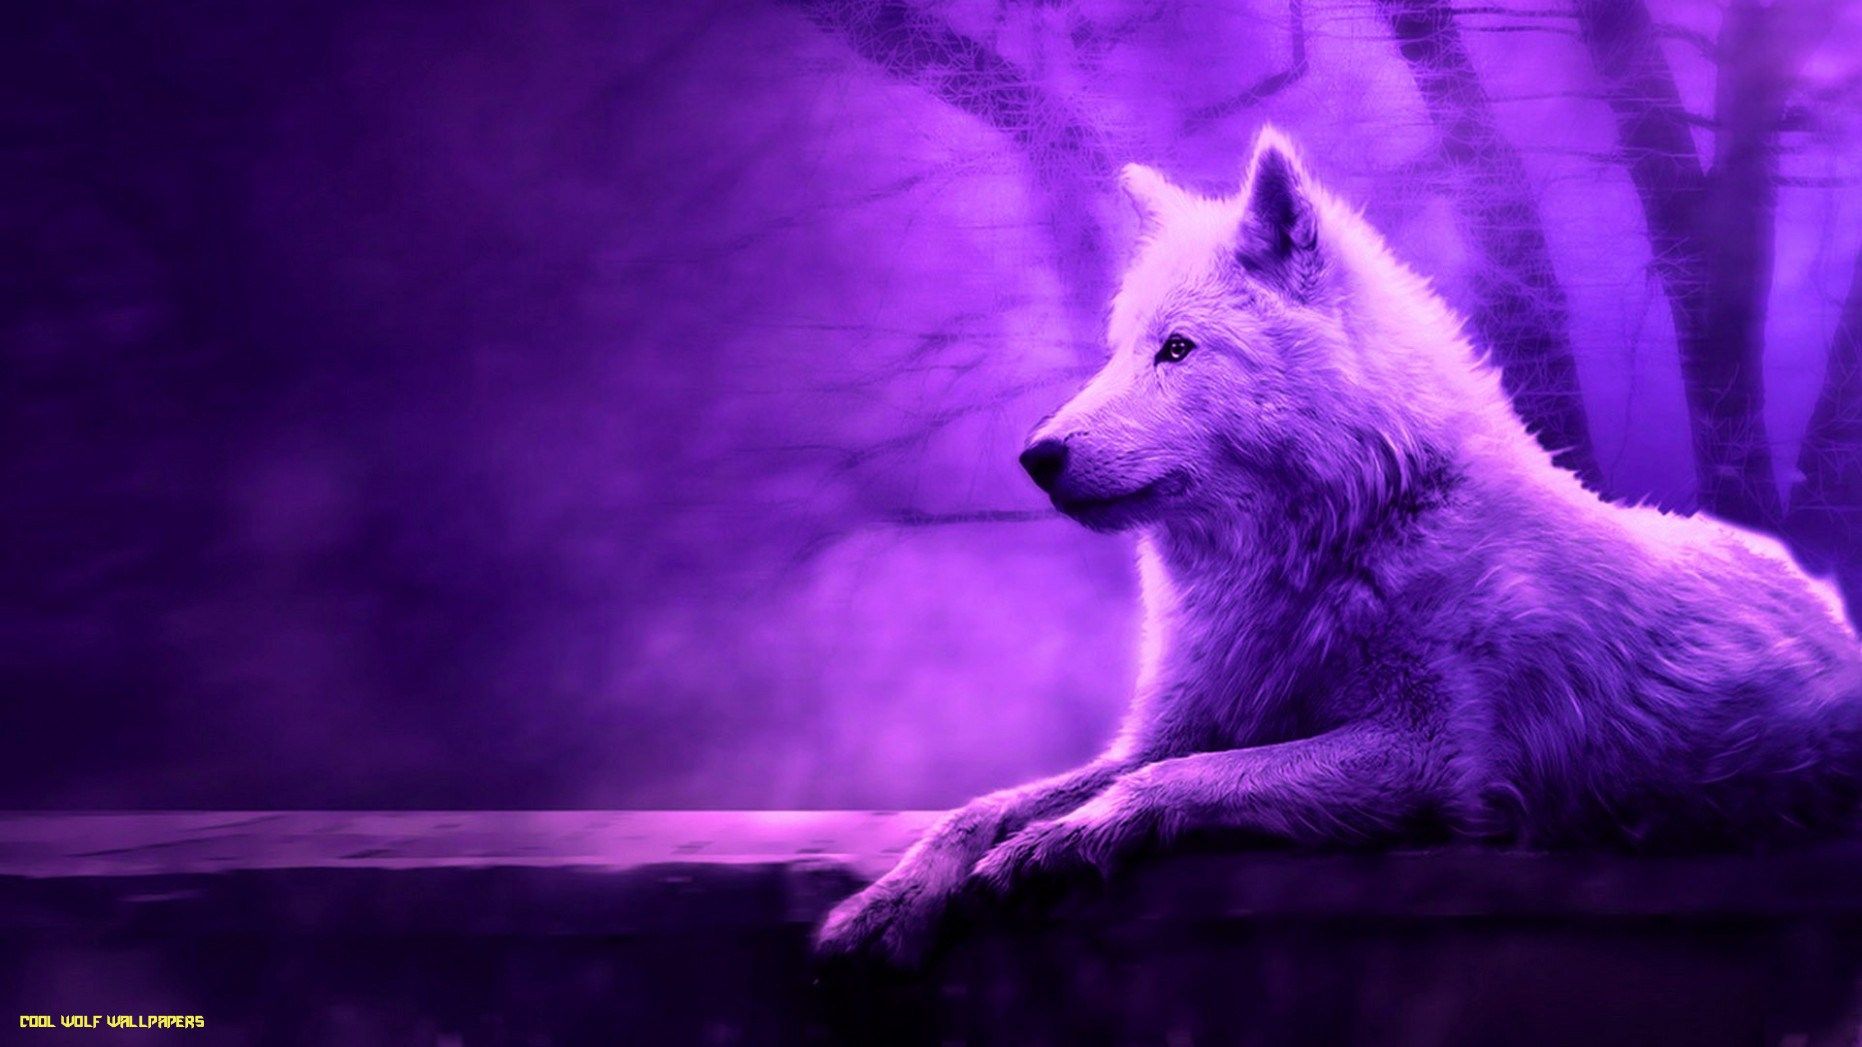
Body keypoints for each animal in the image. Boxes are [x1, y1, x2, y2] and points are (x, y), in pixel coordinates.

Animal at [816, 127, 1862, 967]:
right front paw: (887, 904)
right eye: (1118, 350)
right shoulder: (1184, 723)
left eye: (1178, 350)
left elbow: (1178, 779)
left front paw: (1055, 845)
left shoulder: (1433, 759)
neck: (1337, 542)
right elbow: (983, 806)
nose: (1036, 456)